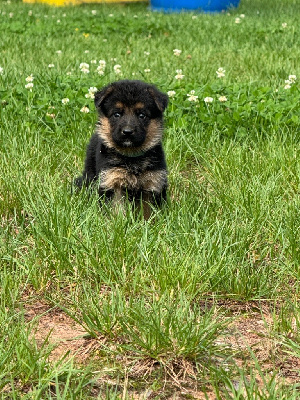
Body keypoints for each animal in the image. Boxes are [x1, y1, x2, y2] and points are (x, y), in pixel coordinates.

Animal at [75, 79, 169, 219]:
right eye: (117, 114)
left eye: (142, 115)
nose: (127, 132)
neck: (131, 157)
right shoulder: (113, 182)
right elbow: (117, 209)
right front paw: (118, 222)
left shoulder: (152, 184)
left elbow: (147, 211)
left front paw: (147, 223)